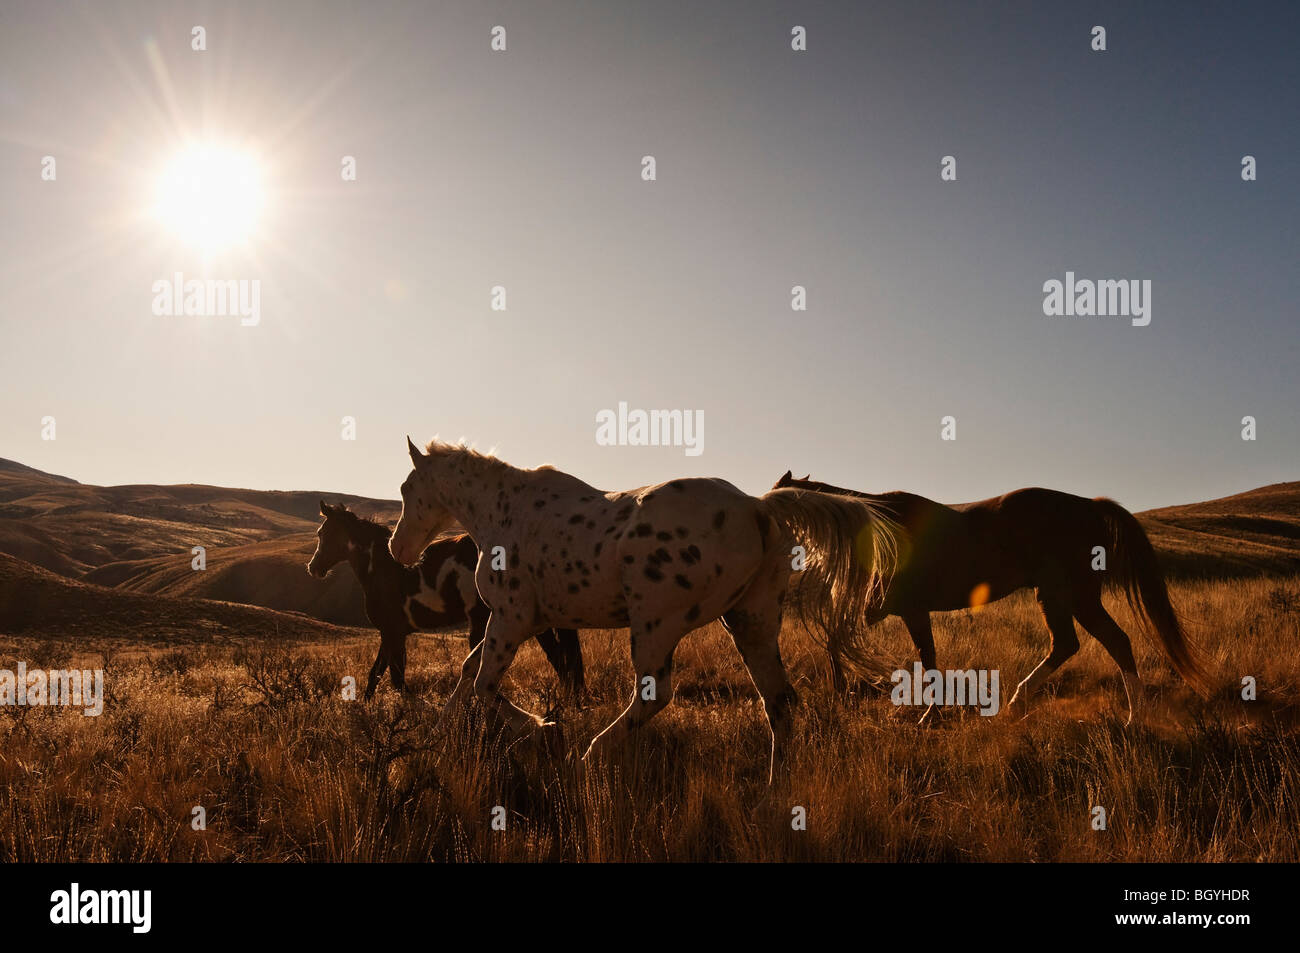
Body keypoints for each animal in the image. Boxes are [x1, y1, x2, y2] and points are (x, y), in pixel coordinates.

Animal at [304, 504, 585, 696]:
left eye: (322, 533)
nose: (313, 568)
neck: (382, 570)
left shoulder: (393, 633)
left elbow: (396, 680)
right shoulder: (391, 633)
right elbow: (376, 676)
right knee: (561, 660)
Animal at [384, 439, 894, 780]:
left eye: (408, 489)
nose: (397, 549)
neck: (506, 513)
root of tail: (757, 508)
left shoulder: (512, 619)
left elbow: (485, 684)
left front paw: (545, 728)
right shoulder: (523, 622)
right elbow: (469, 674)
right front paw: (437, 737)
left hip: (656, 624)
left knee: (654, 695)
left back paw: (590, 755)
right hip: (751, 622)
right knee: (779, 700)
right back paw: (774, 791)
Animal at [769, 468, 1206, 722]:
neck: (879, 527)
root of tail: (1090, 506)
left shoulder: (908, 609)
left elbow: (924, 659)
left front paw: (927, 715)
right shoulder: (885, 609)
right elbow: (839, 641)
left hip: (1072, 595)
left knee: (1108, 641)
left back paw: (1131, 717)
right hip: (1061, 596)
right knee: (1073, 643)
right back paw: (1021, 703)